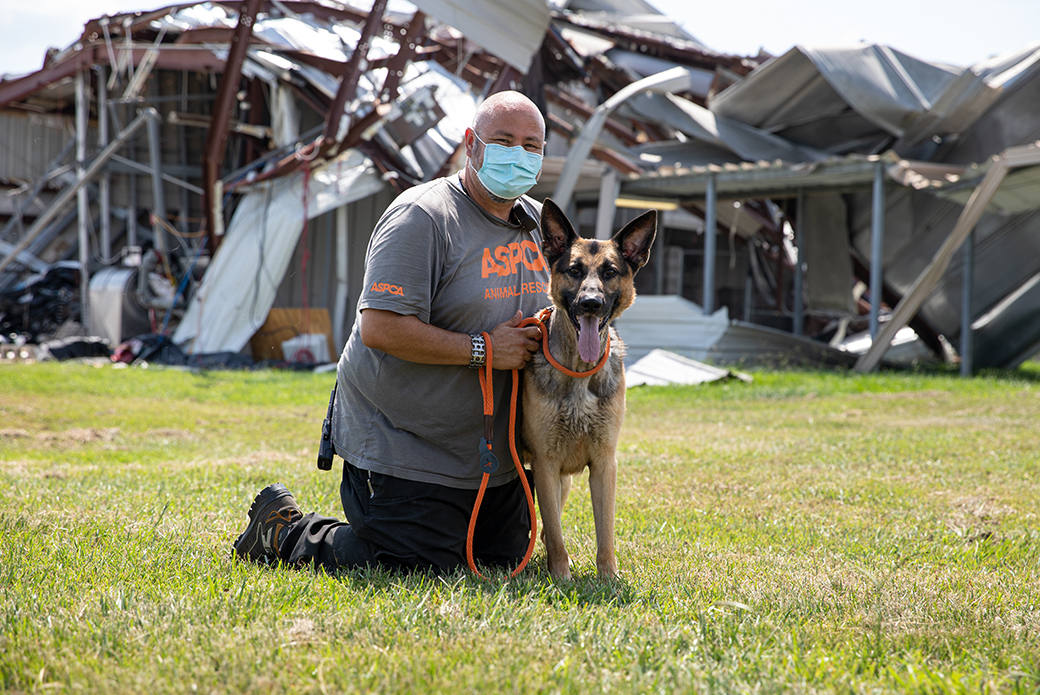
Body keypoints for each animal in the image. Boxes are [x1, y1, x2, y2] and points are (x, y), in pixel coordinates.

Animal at [524, 197, 653, 578]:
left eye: (610, 272)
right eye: (574, 270)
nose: (590, 304)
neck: (580, 372)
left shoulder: (604, 463)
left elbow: (605, 528)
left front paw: (608, 576)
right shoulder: (546, 465)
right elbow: (554, 532)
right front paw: (561, 576)